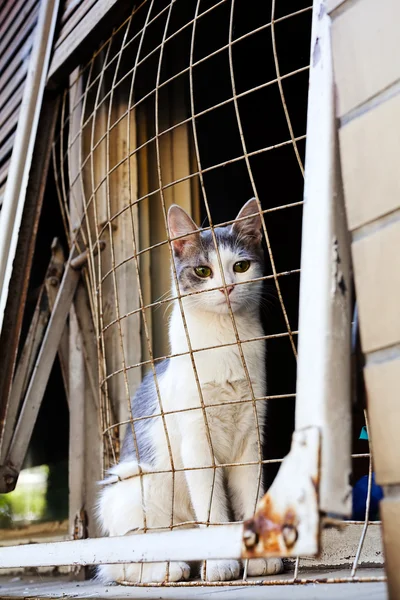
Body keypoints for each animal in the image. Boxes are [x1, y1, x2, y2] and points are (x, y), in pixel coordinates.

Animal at [97, 199, 284, 584]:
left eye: (240, 266)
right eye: (202, 270)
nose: (226, 288)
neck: (225, 344)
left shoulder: (250, 440)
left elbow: (251, 497)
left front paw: (258, 559)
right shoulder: (196, 443)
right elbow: (212, 509)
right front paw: (222, 565)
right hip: (131, 489)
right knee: (120, 563)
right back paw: (171, 568)